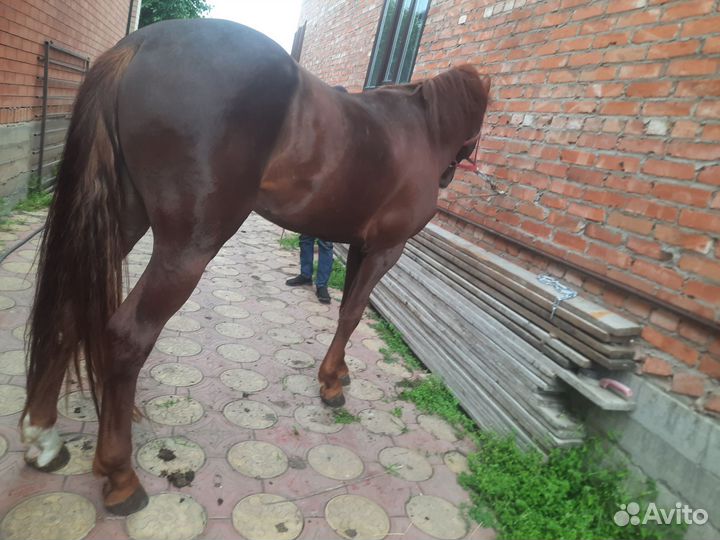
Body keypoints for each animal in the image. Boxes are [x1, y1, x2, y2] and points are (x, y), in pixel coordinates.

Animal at [19, 18, 490, 516]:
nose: (451, 174)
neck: (420, 129)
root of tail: (142, 42)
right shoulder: (387, 249)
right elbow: (352, 313)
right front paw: (331, 385)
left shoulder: (361, 246)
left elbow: (348, 310)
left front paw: (337, 372)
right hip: (188, 248)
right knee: (129, 336)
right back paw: (120, 476)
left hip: (121, 217)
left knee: (69, 309)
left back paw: (42, 438)